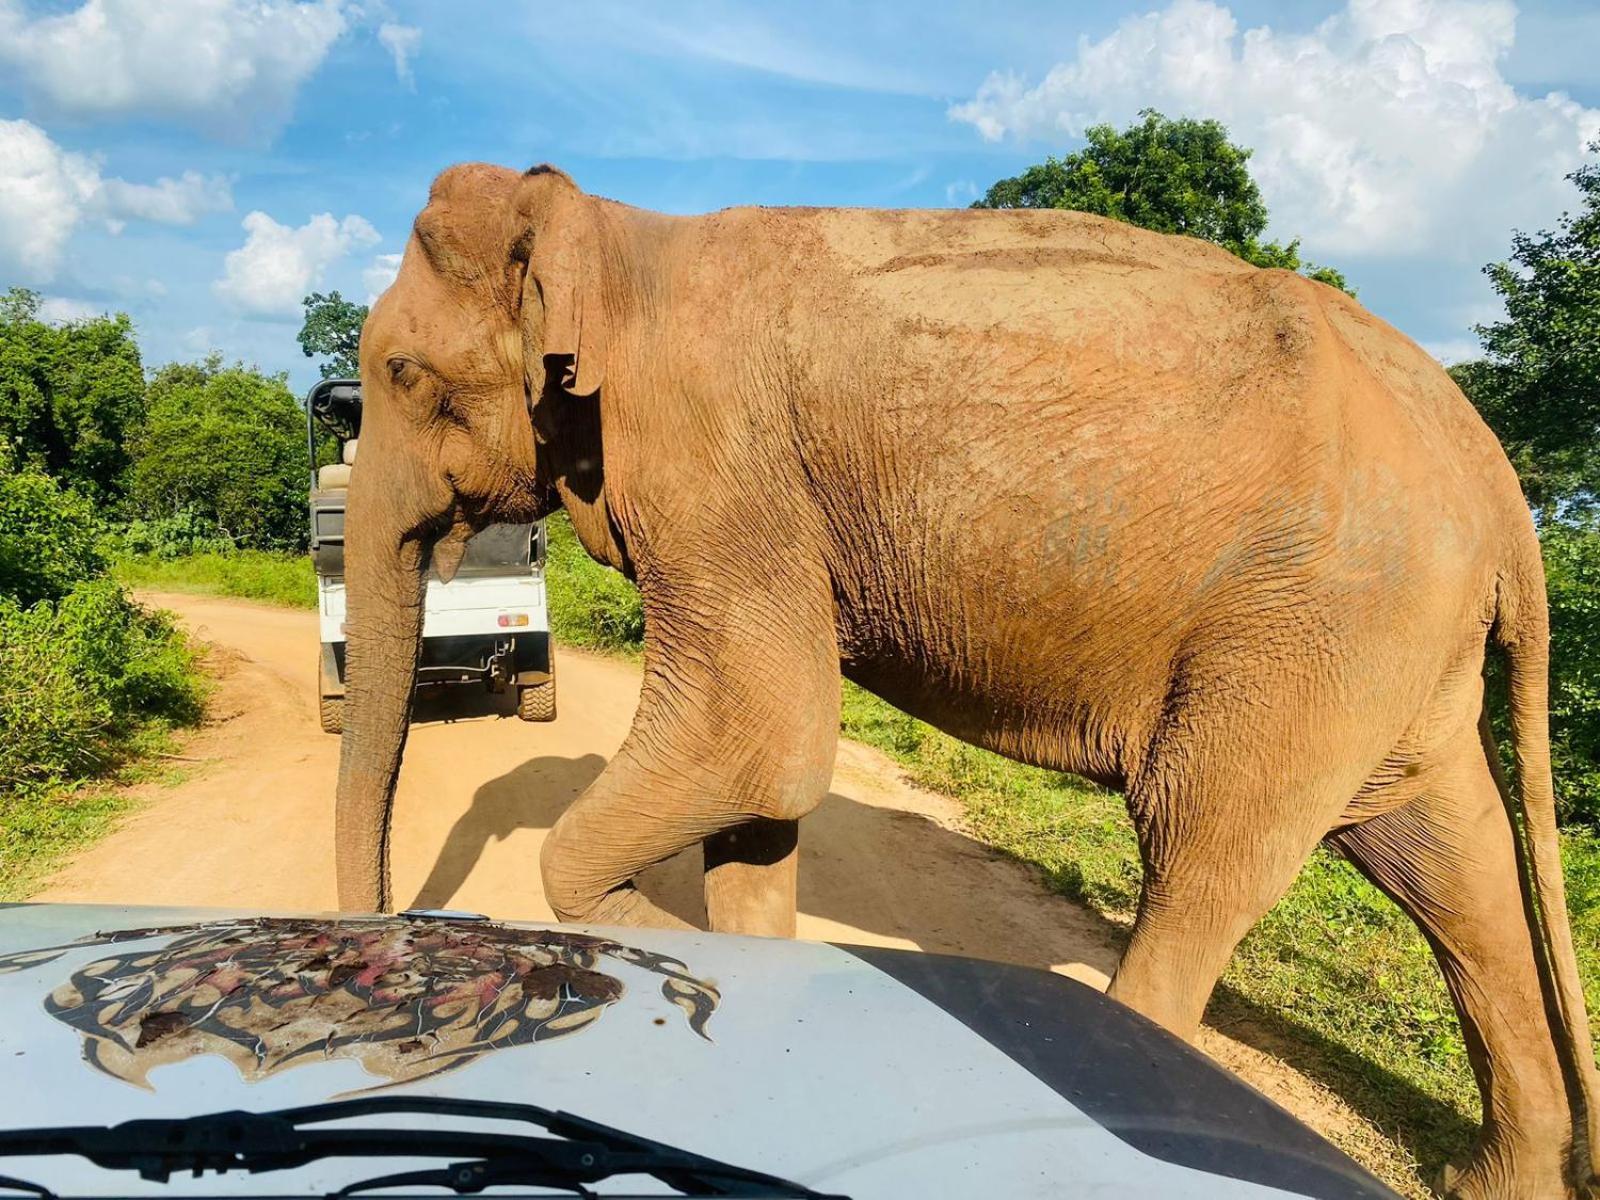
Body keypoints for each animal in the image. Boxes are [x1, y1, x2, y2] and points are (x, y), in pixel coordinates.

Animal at [334, 162, 1587, 1200]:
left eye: (400, 370)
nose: (392, 985)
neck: (613, 229)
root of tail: (1502, 488)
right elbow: (761, 796)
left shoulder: (716, 468)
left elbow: (762, 738)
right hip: (1397, 647)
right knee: (1449, 860)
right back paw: (1496, 1182)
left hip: (1315, 625)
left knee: (1206, 851)